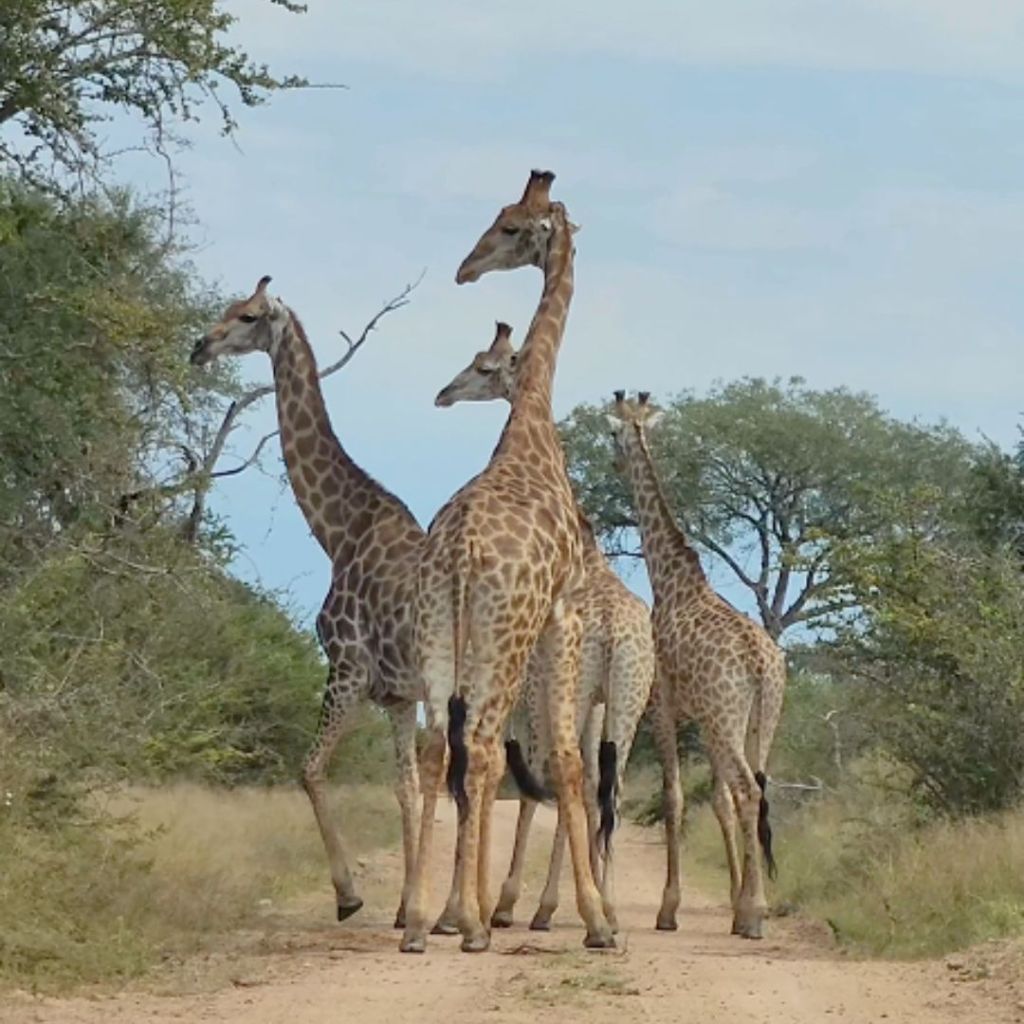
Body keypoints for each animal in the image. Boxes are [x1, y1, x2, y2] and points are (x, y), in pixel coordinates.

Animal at [190, 276, 424, 929]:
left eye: (247, 316)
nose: (199, 346)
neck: (339, 531)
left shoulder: (346, 667)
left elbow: (310, 768)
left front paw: (350, 896)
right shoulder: (399, 696)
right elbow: (409, 789)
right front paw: (406, 907)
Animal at [399, 170, 615, 954]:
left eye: (512, 225)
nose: (466, 268)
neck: (533, 429)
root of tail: (461, 549)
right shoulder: (563, 616)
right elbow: (568, 761)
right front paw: (597, 921)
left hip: (437, 627)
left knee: (439, 748)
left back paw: (420, 923)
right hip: (504, 633)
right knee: (487, 749)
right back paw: (469, 923)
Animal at [434, 321, 656, 933]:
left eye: (485, 366)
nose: (444, 393)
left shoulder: (528, 693)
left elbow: (507, 776)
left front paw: (493, 905)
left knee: (540, 772)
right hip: (623, 700)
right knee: (604, 784)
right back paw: (601, 908)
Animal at [605, 390, 785, 939]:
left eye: (613, 434)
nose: (614, 463)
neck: (671, 581)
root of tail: (760, 662)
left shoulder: (663, 706)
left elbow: (674, 798)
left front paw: (669, 910)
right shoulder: (706, 720)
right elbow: (719, 802)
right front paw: (733, 901)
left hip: (728, 717)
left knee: (748, 789)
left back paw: (758, 914)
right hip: (758, 718)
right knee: (756, 790)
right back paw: (752, 909)